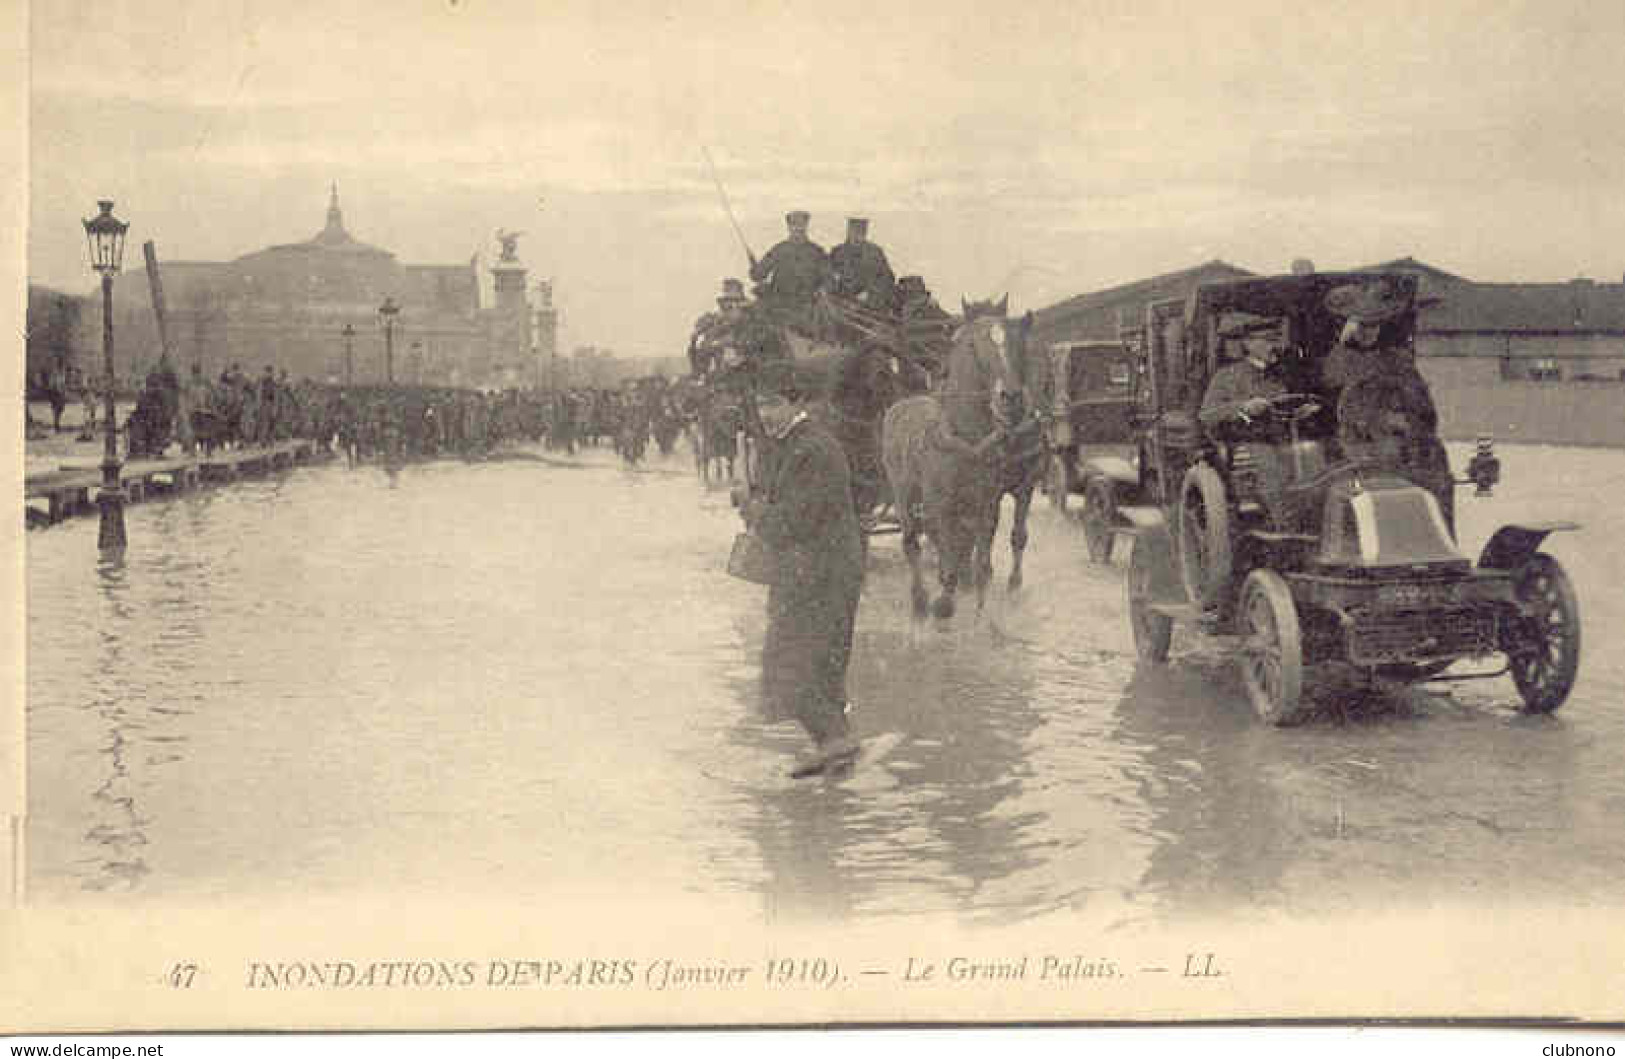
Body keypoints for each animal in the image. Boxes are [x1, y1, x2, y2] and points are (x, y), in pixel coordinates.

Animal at [884, 293, 1033, 617]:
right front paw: (943, 606)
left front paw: (980, 611)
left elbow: (980, 565)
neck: (968, 440)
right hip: (903, 495)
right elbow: (948, 557)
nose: (1010, 397)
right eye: (973, 345)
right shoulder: (942, 506)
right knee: (911, 543)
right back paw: (920, 599)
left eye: (1015, 341)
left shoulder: (987, 505)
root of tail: (901, 404)